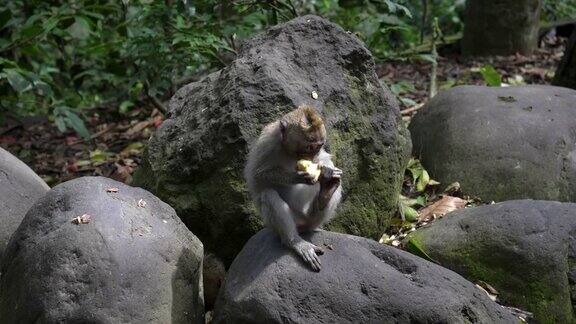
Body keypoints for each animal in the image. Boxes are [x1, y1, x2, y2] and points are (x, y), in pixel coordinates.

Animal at [243, 105, 342, 270]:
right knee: (268, 195)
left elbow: (325, 159)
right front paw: (299, 176)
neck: (289, 151)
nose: (312, 156)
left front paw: (326, 172)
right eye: (309, 146)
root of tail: (304, 224)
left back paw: (326, 192)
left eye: (318, 146)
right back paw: (295, 242)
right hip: (289, 222)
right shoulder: (267, 142)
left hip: (314, 220)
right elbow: (257, 176)